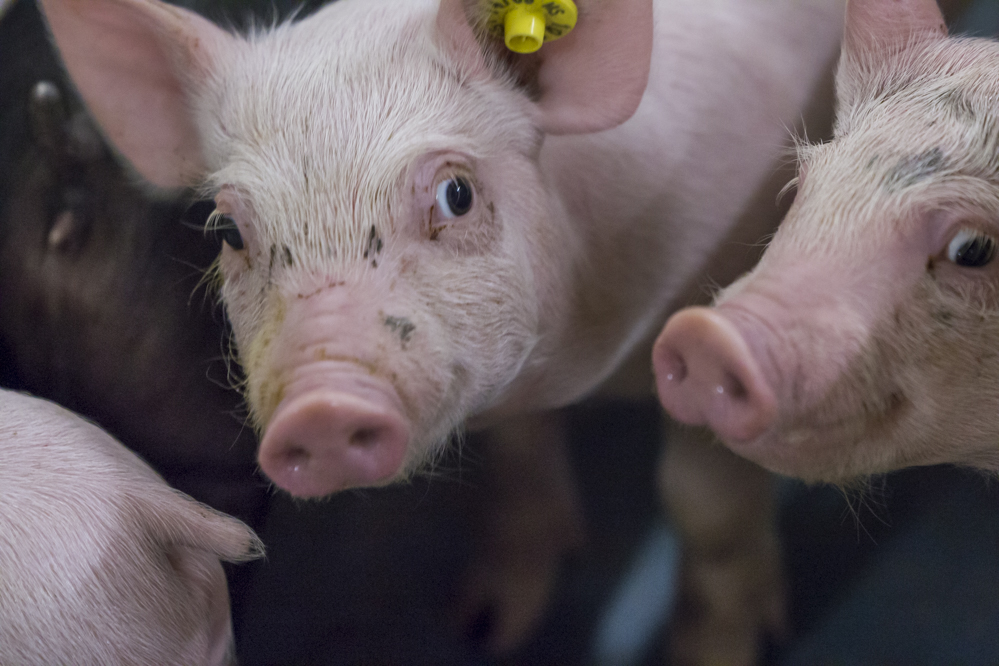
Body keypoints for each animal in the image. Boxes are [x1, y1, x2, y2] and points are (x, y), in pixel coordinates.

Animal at [39, 1, 848, 660]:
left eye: (456, 193)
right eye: (231, 230)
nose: (321, 405)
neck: (578, 369)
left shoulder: (727, 287)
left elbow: (703, 505)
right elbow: (517, 457)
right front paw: (486, 630)